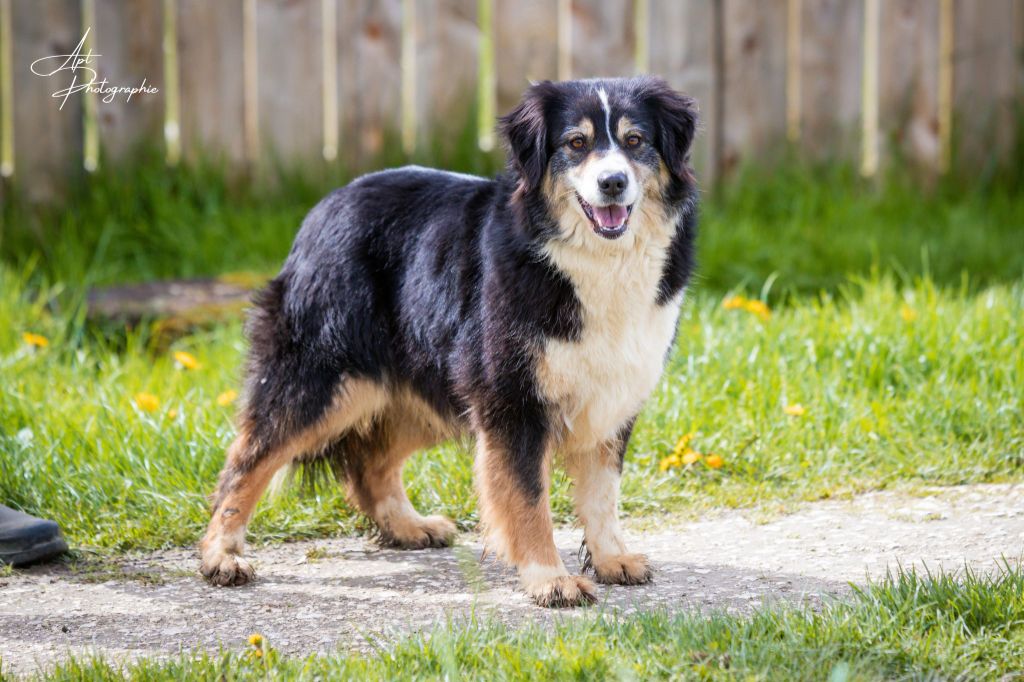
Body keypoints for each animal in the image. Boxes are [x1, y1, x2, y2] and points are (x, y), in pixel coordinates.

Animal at [199, 75, 696, 606]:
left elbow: (603, 492)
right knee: (247, 458)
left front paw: (610, 558)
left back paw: (407, 526)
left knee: (368, 463)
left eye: (635, 141)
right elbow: (528, 498)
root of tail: (323, 209)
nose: (613, 183)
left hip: (428, 387)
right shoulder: (512, 400)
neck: (595, 261)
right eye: (576, 144)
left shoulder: (611, 396)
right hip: (323, 378)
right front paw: (551, 579)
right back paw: (221, 555)